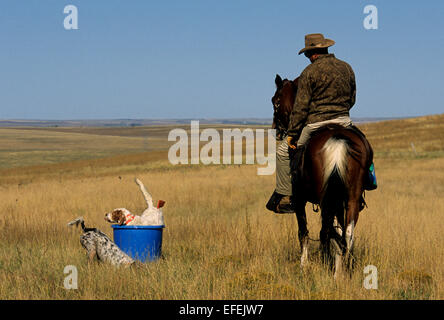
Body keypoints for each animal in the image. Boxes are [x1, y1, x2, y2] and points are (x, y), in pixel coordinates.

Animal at [272, 74, 372, 276]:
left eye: (275, 101)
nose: (276, 129)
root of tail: (338, 139)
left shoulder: (300, 199)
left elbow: (303, 232)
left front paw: (303, 265)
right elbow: (339, 231)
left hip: (327, 200)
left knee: (326, 232)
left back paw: (332, 270)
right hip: (350, 198)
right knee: (346, 233)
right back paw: (342, 270)